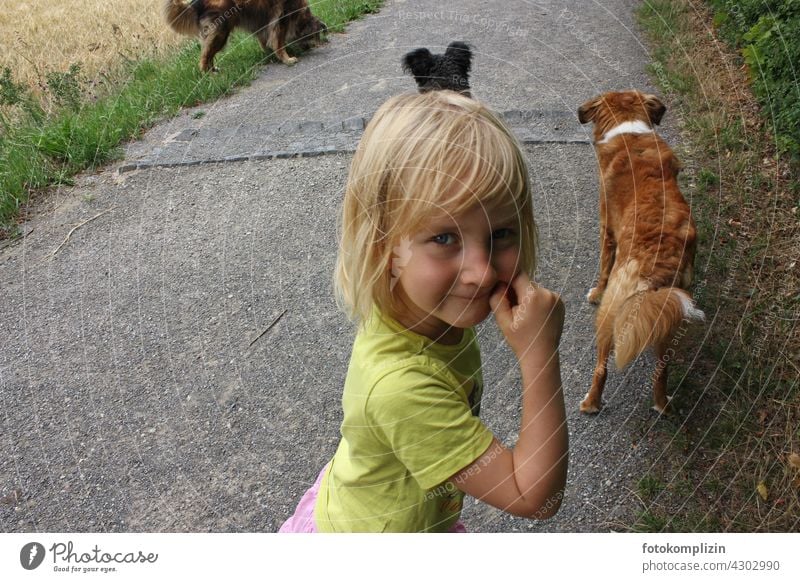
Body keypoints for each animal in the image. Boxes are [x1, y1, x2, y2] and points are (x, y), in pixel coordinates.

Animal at [164, 0, 326, 72]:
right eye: (315, 36)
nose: (312, 47)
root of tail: (198, 3)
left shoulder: (263, 24)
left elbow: (265, 40)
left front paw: (270, 54)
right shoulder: (280, 20)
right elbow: (278, 42)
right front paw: (287, 59)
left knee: (207, 54)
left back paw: (213, 70)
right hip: (220, 33)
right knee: (205, 56)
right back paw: (208, 74)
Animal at [580, 90, 704, 416]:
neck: (629, 129)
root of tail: (657, 265)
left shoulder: (607, 231)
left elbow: (602, 267)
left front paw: (594, 291)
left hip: (611, 311)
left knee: (601, 367)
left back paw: (590, 403)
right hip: (668, 317)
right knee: (662, 371)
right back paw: (662, 405)